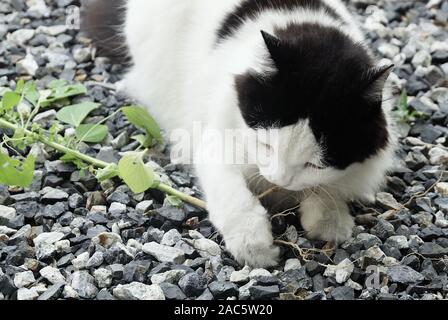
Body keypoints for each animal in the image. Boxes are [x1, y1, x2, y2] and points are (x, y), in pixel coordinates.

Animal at [82, 0, 398, 268]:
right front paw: (254, 248)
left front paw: (330, 222)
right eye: (266, 145)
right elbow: (233, 196)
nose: (279, 179)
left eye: (314, 164)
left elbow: (325, 187)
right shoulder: (216, 139)